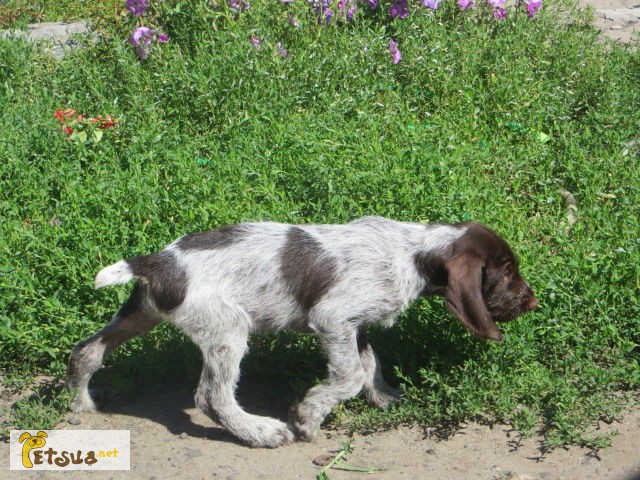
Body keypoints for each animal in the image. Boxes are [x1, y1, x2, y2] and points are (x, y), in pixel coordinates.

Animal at [66, 216, 536, 448]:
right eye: (507, 272)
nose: (532, 302)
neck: (415, 253)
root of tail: (158, 261)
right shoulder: (333, 318)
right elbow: (348, 377)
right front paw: (310, 416)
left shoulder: (352, 325)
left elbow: (368, 364)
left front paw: (384, 396)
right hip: (227, 330)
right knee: (211, 397)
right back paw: (261, 433)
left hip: (139, 313)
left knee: (86, 351)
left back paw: (81, 403)